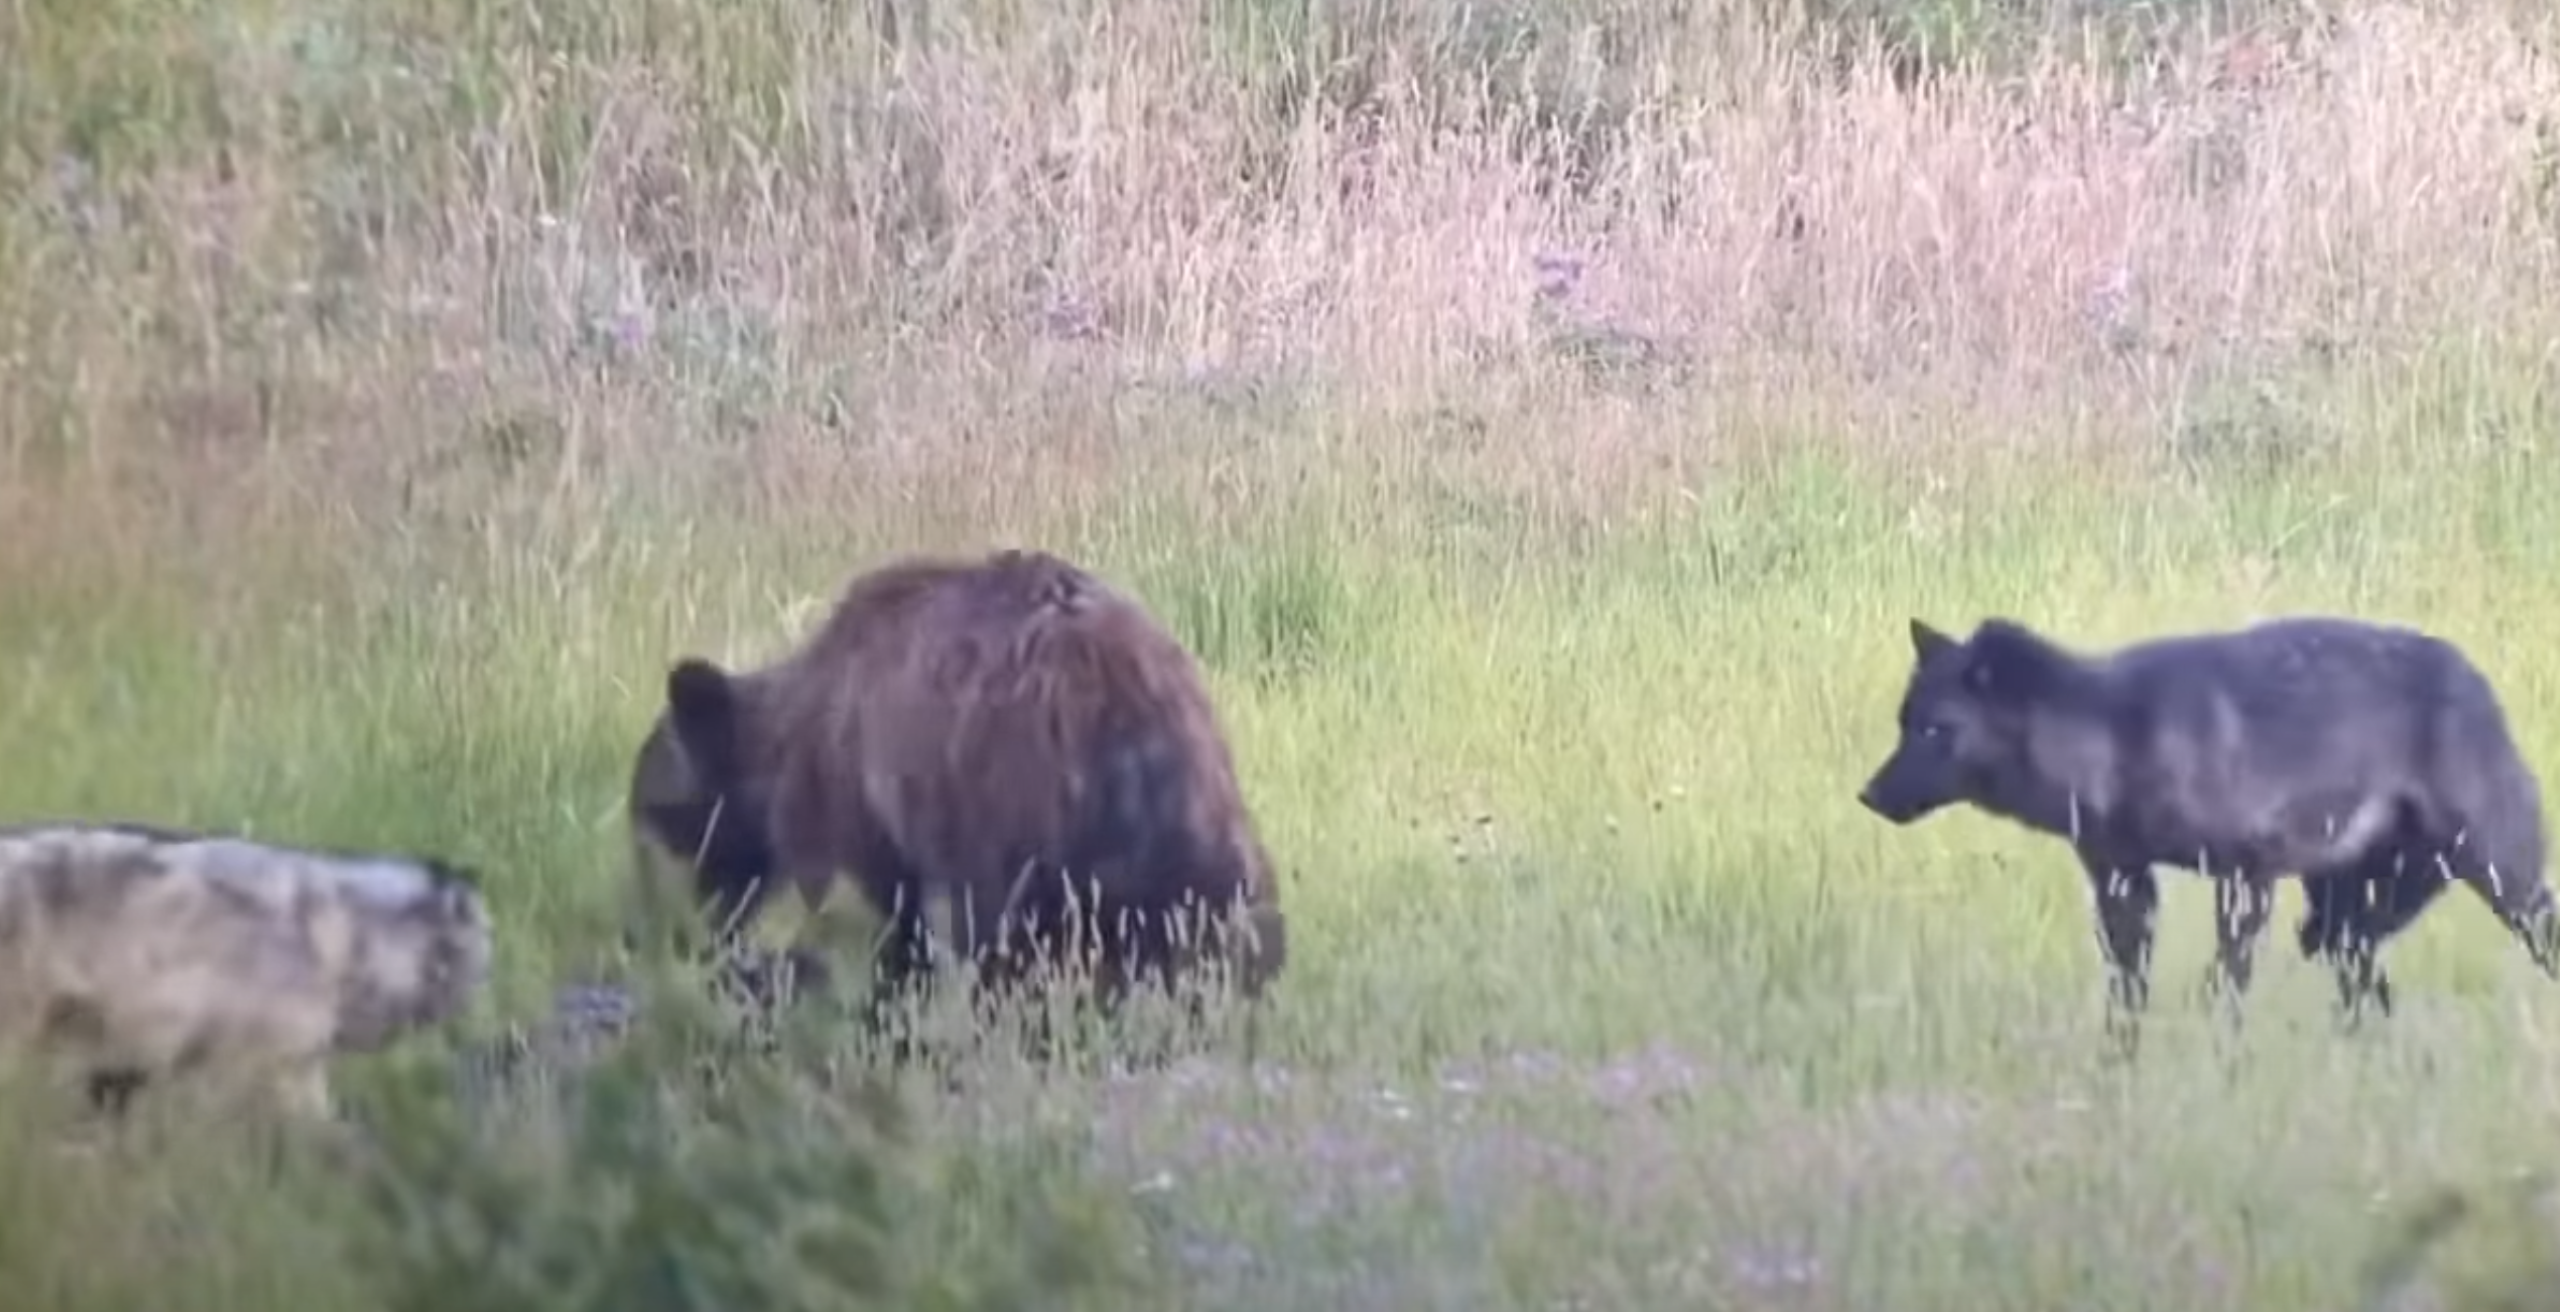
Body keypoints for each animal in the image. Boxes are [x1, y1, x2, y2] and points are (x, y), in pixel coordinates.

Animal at [629, 545, 1290, 1045]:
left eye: (651, 815)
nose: (670, 935)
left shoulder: (848, 800)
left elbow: (867, 924)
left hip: (1006, 813)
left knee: (1003, 947)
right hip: (1207, 830)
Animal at [1863, 612, 2560, 1045]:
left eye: (1936, 730)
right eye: (1902, 725)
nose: (1867, 796)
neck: (2117, 739)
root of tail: (2474, 678)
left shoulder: (2245, 880)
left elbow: (2226, 986)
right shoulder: (2123, 885)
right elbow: (2128, 993)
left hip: (2501, 882)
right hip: (2341, 924)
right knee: (2371, 995)